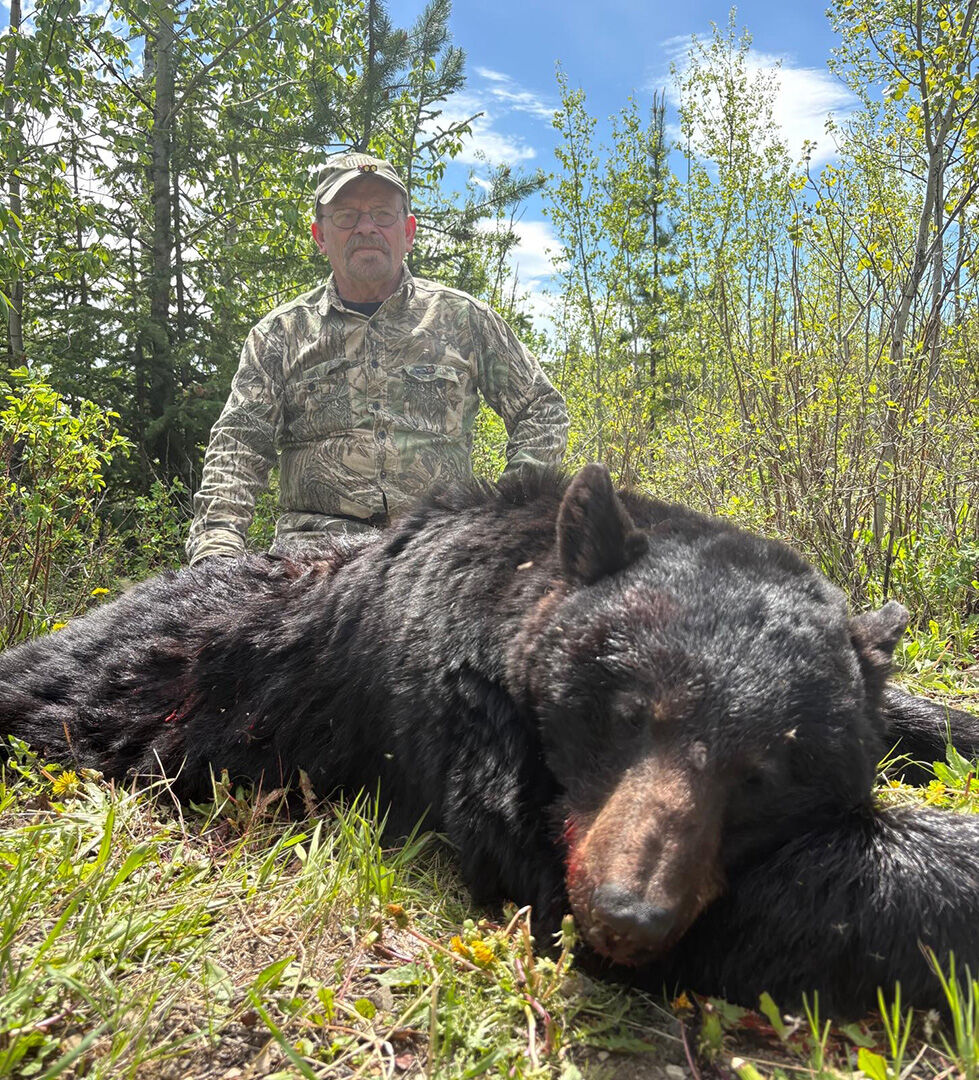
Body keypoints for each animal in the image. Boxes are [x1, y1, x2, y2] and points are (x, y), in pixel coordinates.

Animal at [1, 463, 978, 1016]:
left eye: (765, 769)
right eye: (627, 713)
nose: (629, 916)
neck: (521, 566)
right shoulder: (462, 714)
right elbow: (542, 878)